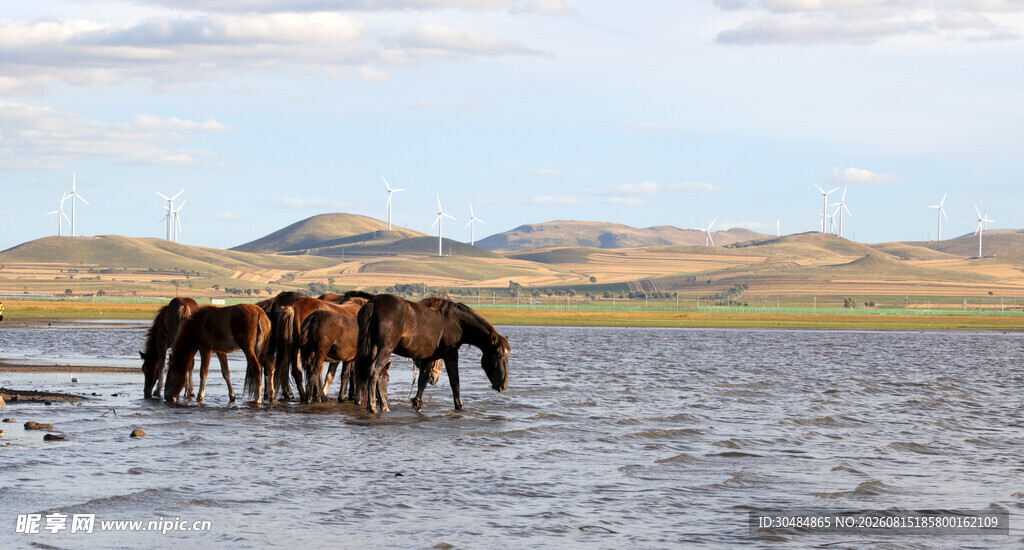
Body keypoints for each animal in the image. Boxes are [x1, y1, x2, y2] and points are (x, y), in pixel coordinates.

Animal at [355, 294, 510, 413]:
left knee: (374, 373)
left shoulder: (429, 357)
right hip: (385, 349)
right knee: (374, 370)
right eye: (498, 354)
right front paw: (459, 407)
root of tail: (374, 303)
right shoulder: (451, 355)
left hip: (373, 347)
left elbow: (422, 381)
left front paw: (417, 404)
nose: (503, 386)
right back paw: (373, 407)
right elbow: (455, 383)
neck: (457, 322)